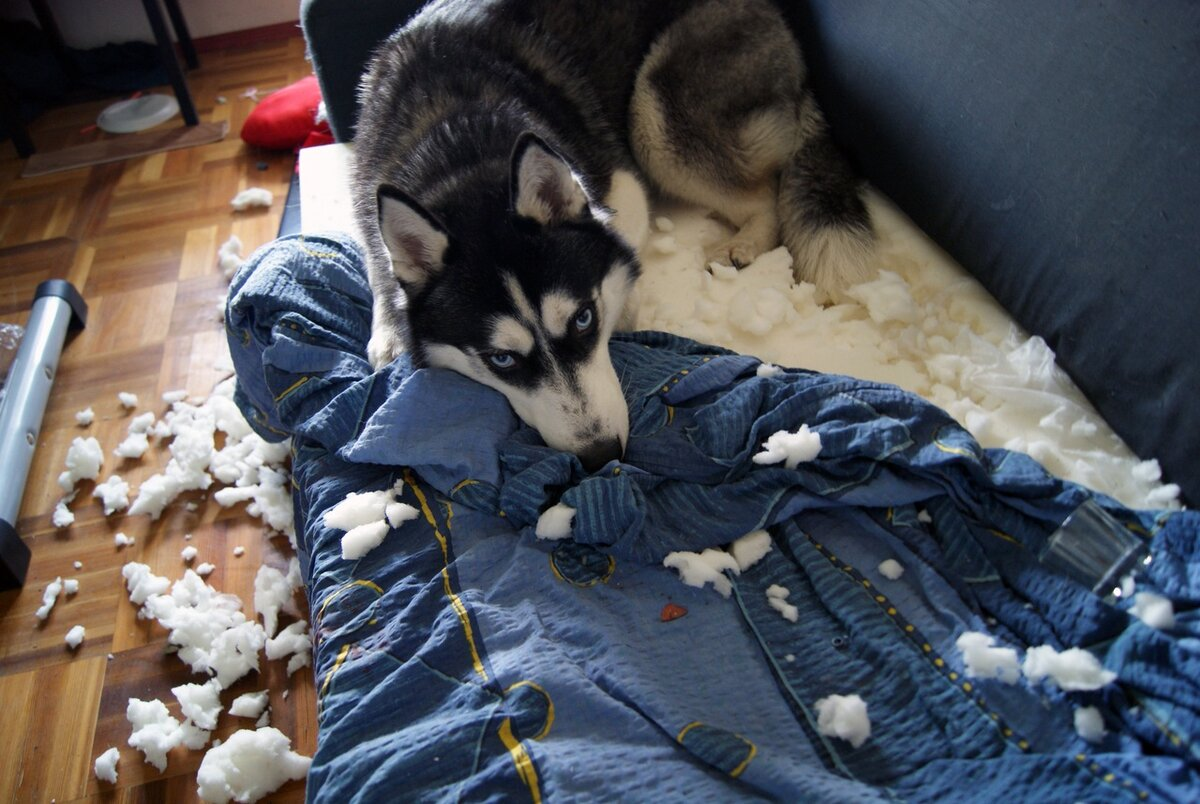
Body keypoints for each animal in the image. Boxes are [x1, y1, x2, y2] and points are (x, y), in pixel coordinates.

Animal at [352, 0, 873, 472]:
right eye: (501, 360)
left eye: (584, 320)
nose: (601, 455)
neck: (460, 147)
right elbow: (381, 275)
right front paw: (390, 335)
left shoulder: (621, 184)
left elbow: (622, 253)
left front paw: (626, 306)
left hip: (656, 114)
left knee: (763, 192)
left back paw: (742, 243)